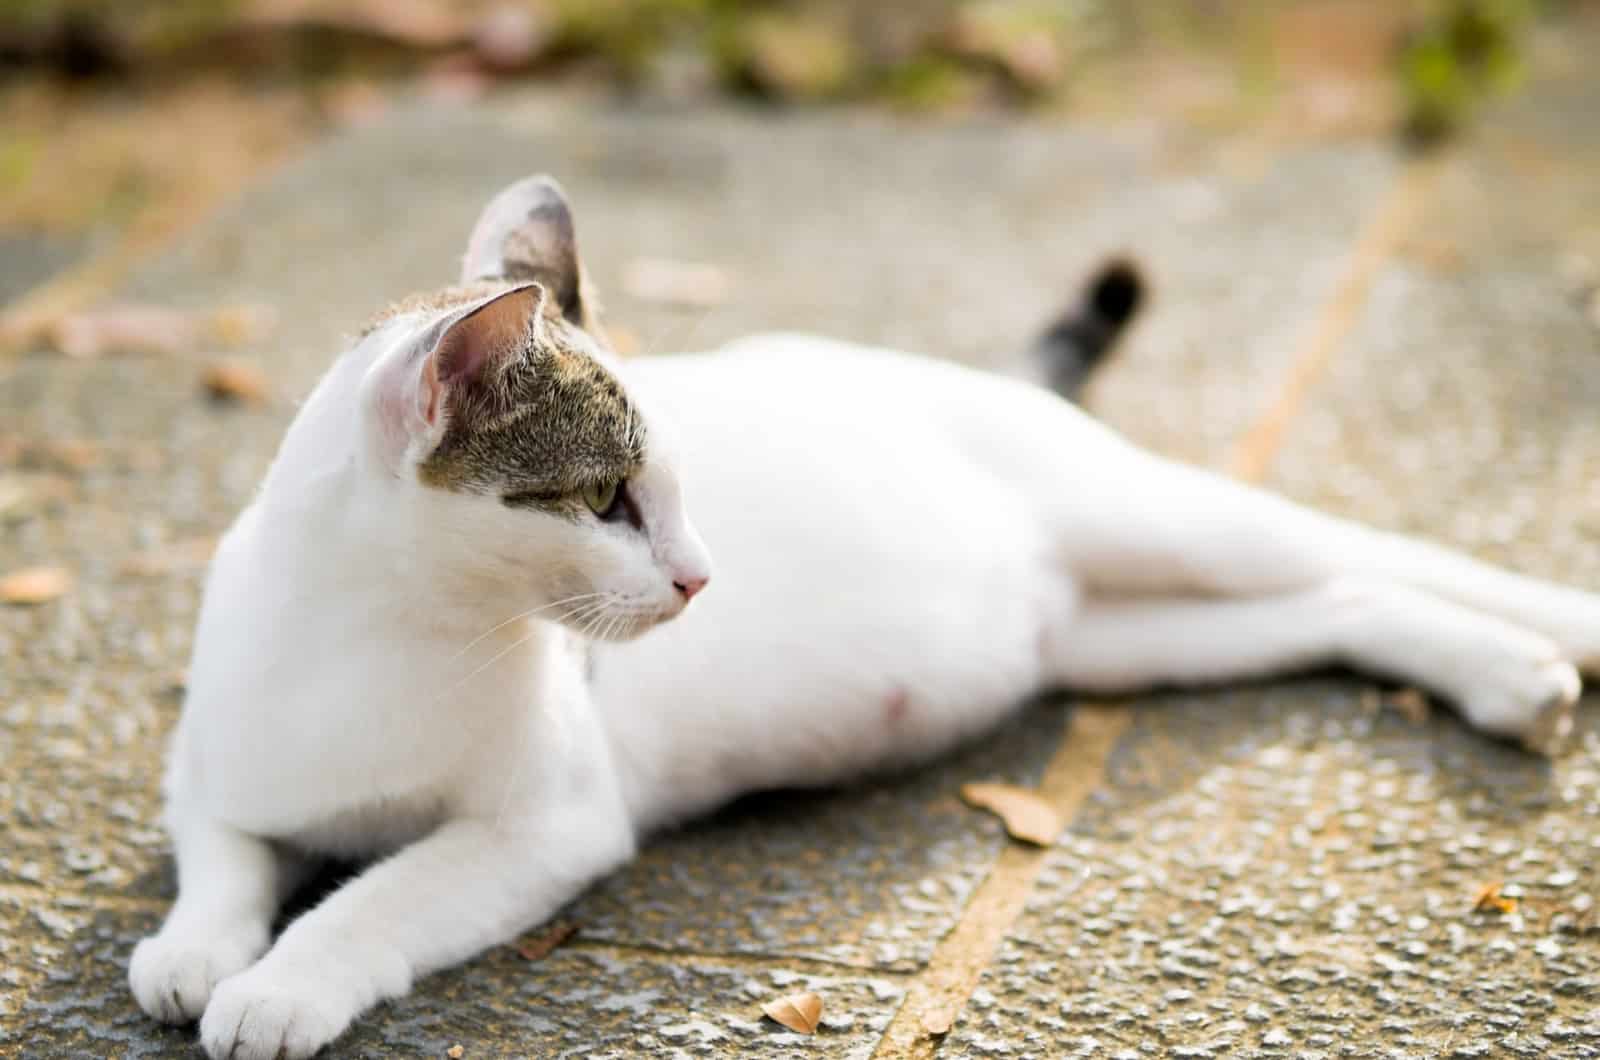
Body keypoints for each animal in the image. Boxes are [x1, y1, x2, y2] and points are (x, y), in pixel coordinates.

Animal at [128, 178, 1600, 1056]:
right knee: (1335, 602)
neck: (381, 639)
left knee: (1357, 545)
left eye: (673, 491)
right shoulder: (209, 779)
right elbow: (224, 862)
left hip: (1158, 521)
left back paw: (1551, 631)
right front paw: (195, 952)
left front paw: (287, 980)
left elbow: (376, 895)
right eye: (606, 499)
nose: (700, 577)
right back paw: (1501, 675)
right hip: (1124, 635)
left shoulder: (545, 826)